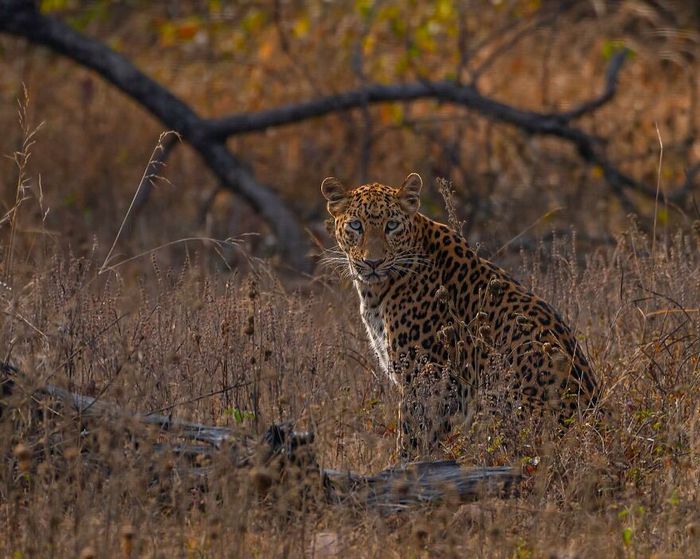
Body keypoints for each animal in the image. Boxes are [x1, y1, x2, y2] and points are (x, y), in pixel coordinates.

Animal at [322, 174, 600, 460]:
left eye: (392, 226)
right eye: (356, 226)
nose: (373, 262)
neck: (377, 291)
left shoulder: (427, 381)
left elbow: (411, 439)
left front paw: (404, 467)